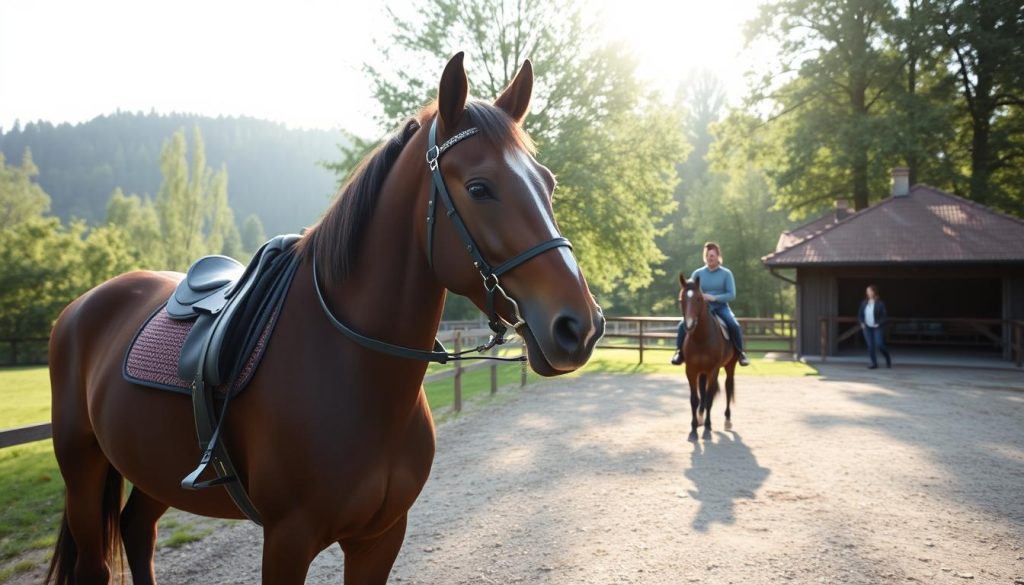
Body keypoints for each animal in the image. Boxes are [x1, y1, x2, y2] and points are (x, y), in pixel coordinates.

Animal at [48, 52, 602, 581]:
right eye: (480, 188)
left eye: (548, 183)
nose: (580, 326)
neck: (354, 369)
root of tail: (80, 308)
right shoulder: (287, 541)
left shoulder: (381, 538)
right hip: (81, 467)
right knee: (96, 564)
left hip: (153, 468)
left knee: (138, 533)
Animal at [679, 274, 737, 438]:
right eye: (681, 299)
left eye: (699, 298)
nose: (689, 325)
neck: (701, 338)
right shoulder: (691, 370)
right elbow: (695, 399)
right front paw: (693, 428)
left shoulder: (713, 370)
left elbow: (710, 398)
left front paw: (707, 427)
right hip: (702, 372)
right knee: (703, 393)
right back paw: (700, 417)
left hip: (730, 366)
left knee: (728, 387)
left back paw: (727, 420)